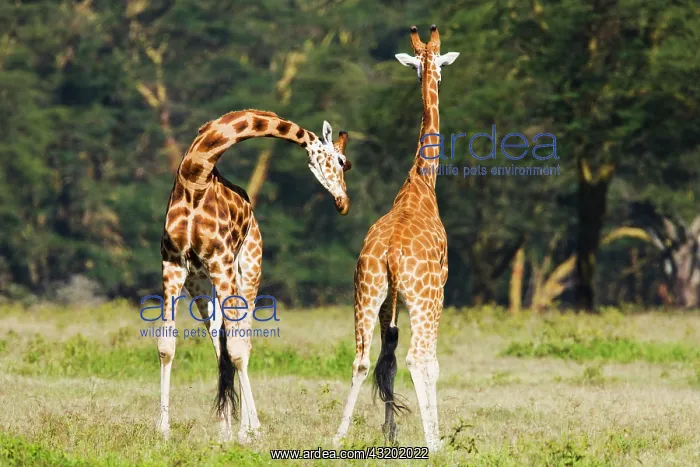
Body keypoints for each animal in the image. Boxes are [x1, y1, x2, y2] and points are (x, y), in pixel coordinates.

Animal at [157, 109, 352, 443]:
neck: (195, 178)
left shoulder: (221, 261)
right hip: (201, 283)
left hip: (248, 271)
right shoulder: (173, 265)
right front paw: (162, 430)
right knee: (218, 340)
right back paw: (224, 431)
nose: (344, 203)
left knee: (242, 341)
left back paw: (242, 429)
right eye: (342, 162)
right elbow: (167, 346)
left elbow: (237, 350)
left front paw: (253, 431)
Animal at [333, 25, 459, 452]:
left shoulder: (390, 302)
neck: (421, 183)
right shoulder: (439, 289)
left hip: (366, 291)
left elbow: (385, 357)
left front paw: (390, 429)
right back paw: (434, 442)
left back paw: (337, 436)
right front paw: (434, 436)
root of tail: (389, 252)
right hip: (424, 298)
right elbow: (426, 362)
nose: (436, 76)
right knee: (420, 359)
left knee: (361, 358)